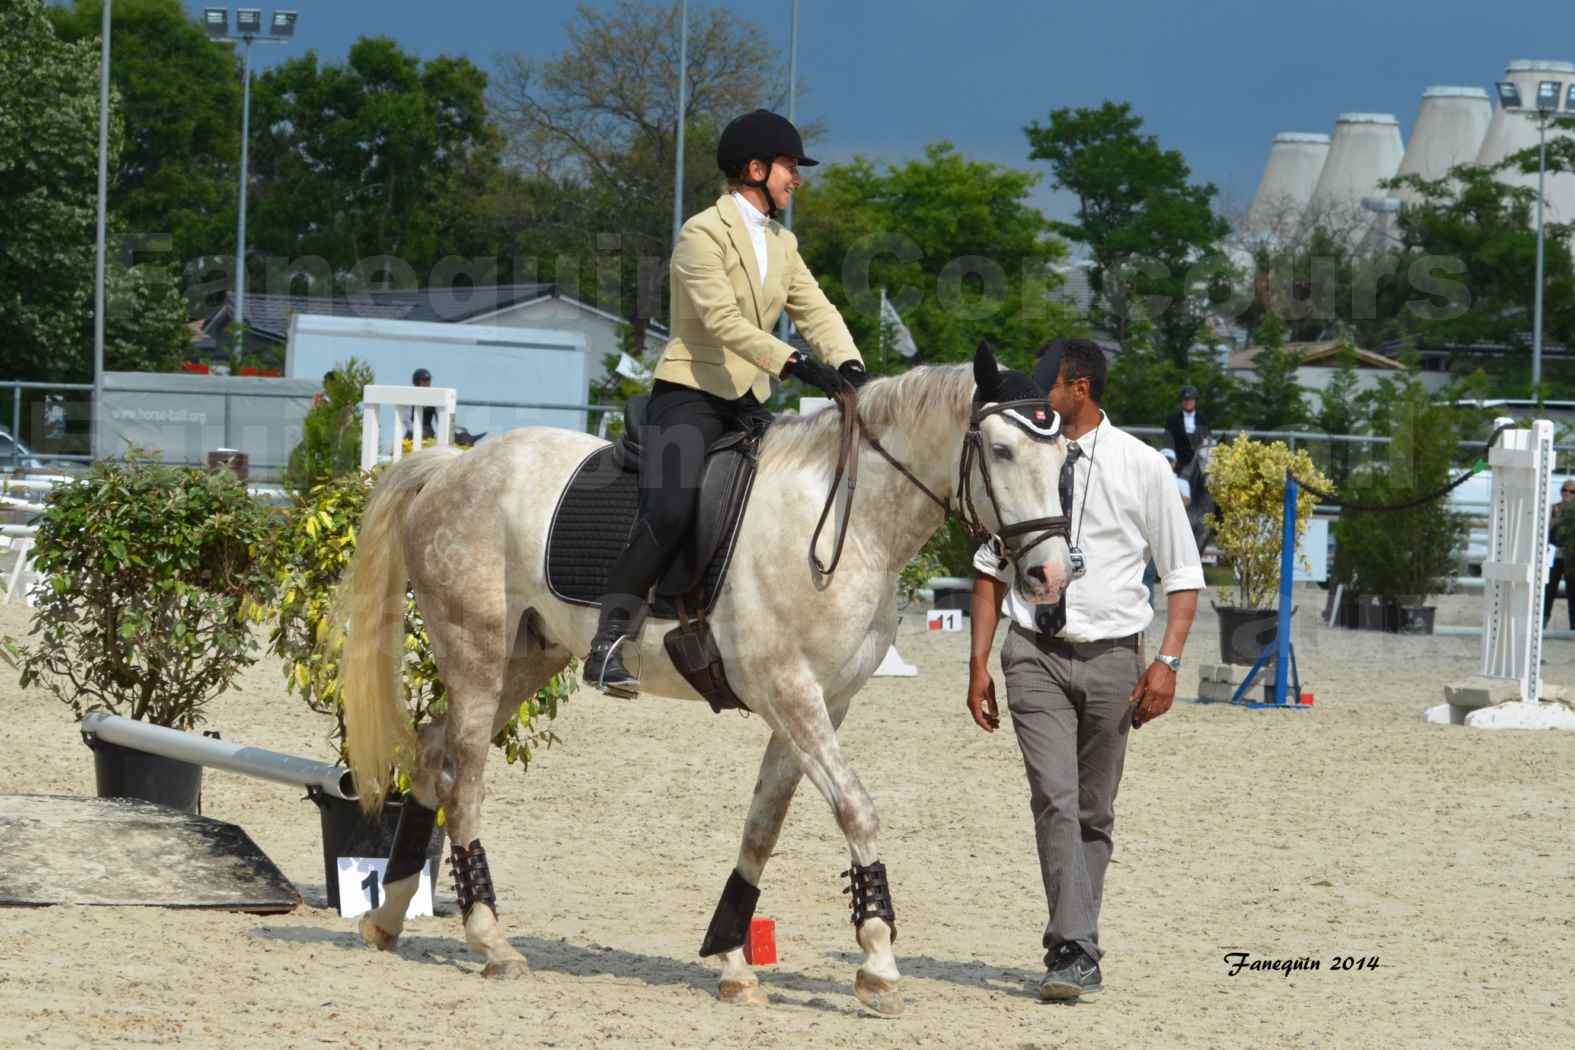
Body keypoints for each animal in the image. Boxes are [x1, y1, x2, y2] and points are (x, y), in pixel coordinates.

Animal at [330, 346, 1071, 1020]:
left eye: (1064, 457)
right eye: (1000, 450)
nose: (1049, 577)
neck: (848, 521)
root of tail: (453, 467)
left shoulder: (820, 703)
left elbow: (762, 829)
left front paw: (733, 962)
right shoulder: (790, 692)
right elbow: (856, 810)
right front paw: (879, 967)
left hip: (529, 657)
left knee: (433, 753)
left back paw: (388, 915)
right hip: (476, 652)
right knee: (466, 783)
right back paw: (490, 942)